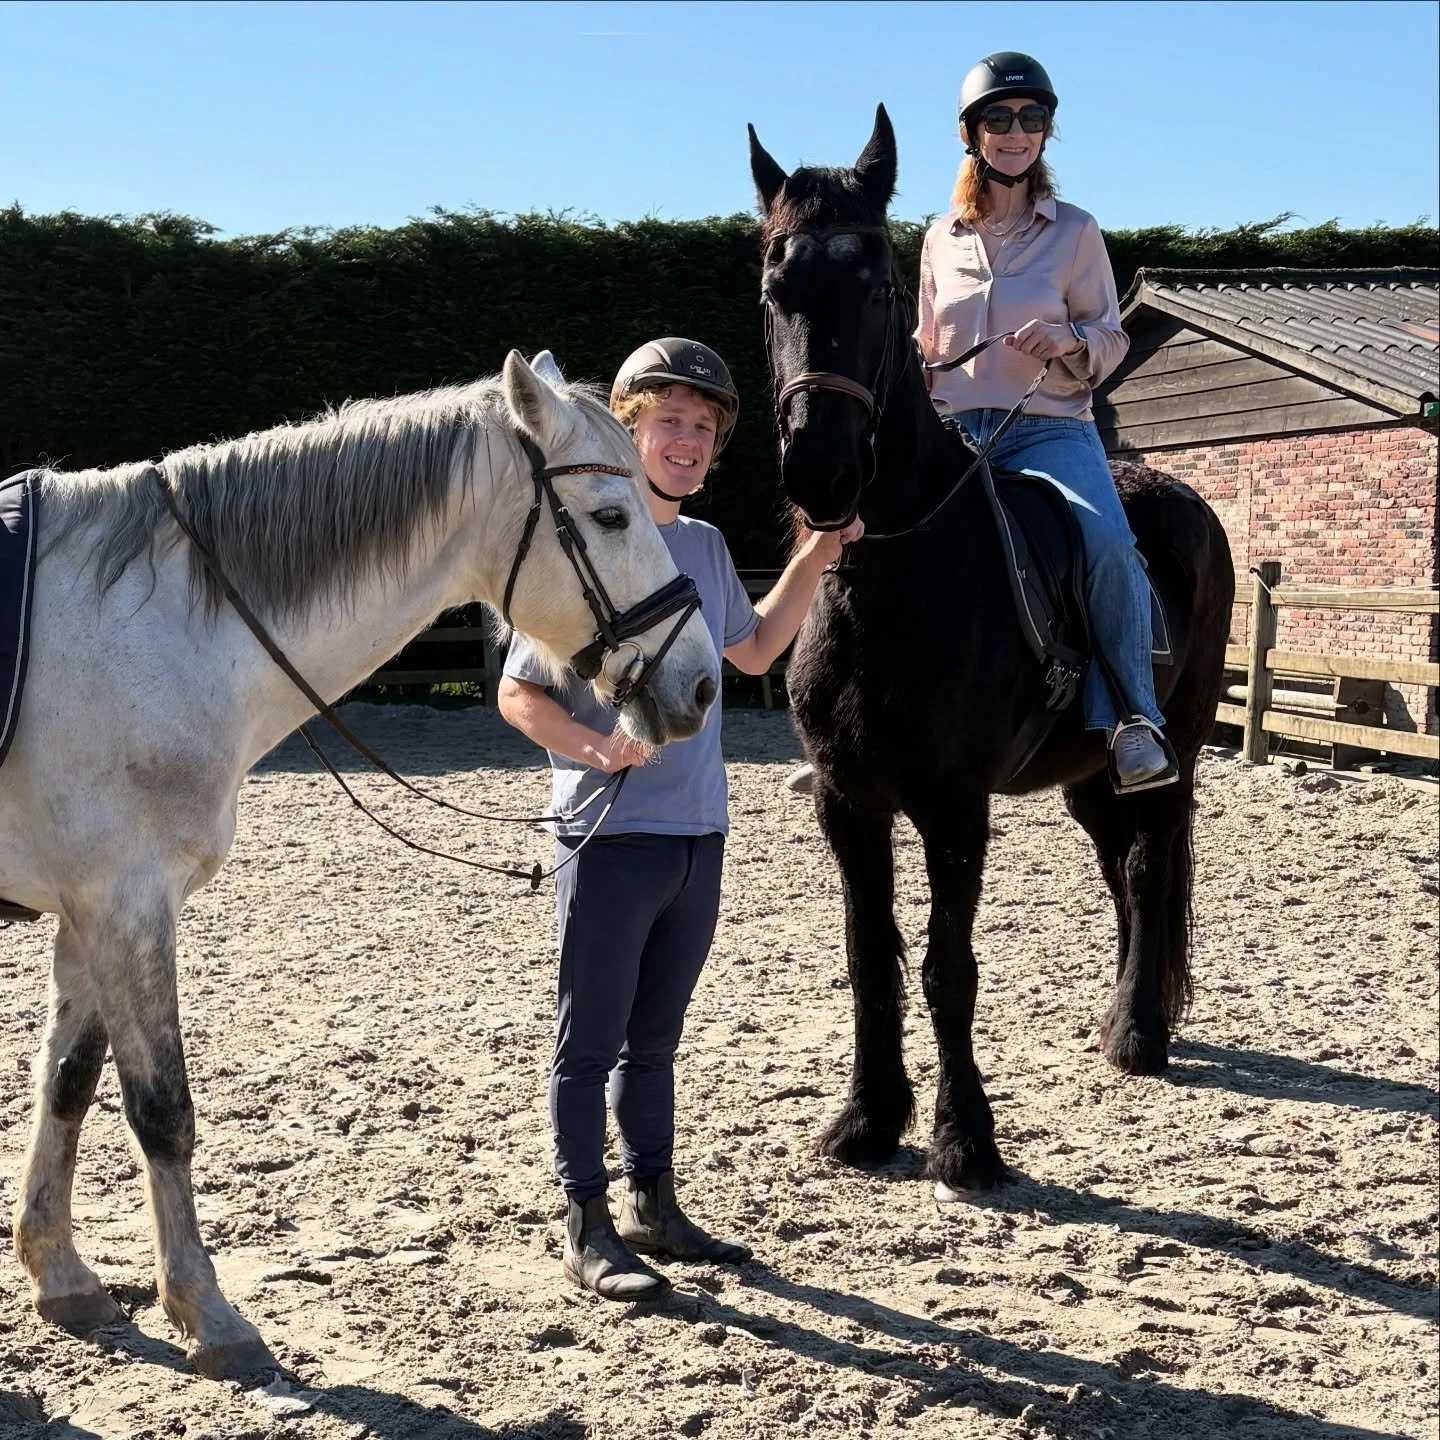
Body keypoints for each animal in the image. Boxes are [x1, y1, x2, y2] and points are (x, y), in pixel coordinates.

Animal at [0, 350, 720, 1378]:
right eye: (614, 518)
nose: (700, 685)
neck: (157, 625)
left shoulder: (89, 912)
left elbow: (65, 1083)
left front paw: (61, 1276)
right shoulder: (128, 903)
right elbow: (161, 1110)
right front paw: (209, 1314)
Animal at [747, 108, 1235, 1200]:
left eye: (877, 286)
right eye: (774, 288)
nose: (819, 471)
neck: (896, 571)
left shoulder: (953, 807)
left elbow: (947, 967)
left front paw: (964, 1139)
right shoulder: (849, 801)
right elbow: (870, 956)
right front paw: (866, 1119)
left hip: (1172, 752)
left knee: (1150, 865)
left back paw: (1139, 1033)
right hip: (1090, 774)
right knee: (1120, 868)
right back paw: (1125, 1010)